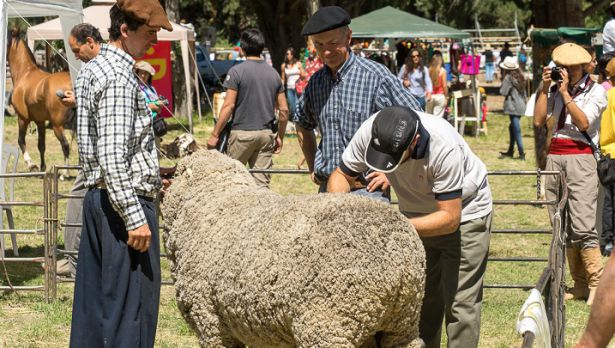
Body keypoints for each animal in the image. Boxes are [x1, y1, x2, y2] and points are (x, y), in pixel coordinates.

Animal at [6, 30, 73, 172]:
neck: (25, 73)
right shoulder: (40, 121)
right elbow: (41, 145)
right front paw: (42, 167)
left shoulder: (23, 118)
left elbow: (21, 140)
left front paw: (31, 164)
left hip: (57, 126)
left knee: (65, 146)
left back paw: (65, 172)